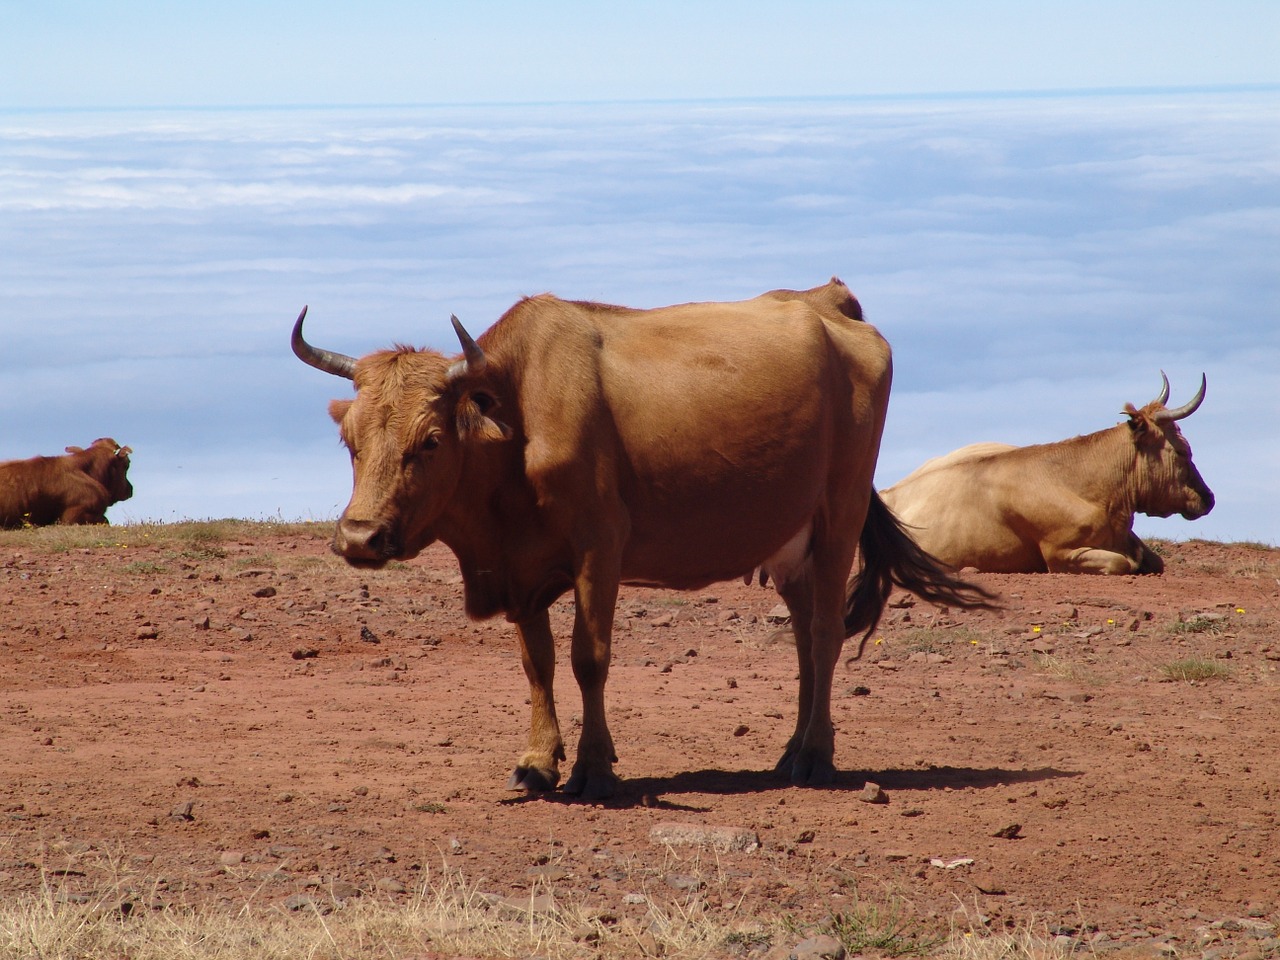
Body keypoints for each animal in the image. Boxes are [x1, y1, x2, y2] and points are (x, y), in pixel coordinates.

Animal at [294, 280, 993, 803]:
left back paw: (817, 757)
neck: (519, 418)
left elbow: (588, 658)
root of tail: (828, 302)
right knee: (803, 642)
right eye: (349, 439)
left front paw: (592, 768)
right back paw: (790, 751)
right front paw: (537, 762)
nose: (359, 537)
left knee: (824, 632)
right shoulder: (523, 570)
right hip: (791, 544)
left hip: (838, 517)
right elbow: (538, 662)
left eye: (432, 440)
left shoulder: (599, 547)